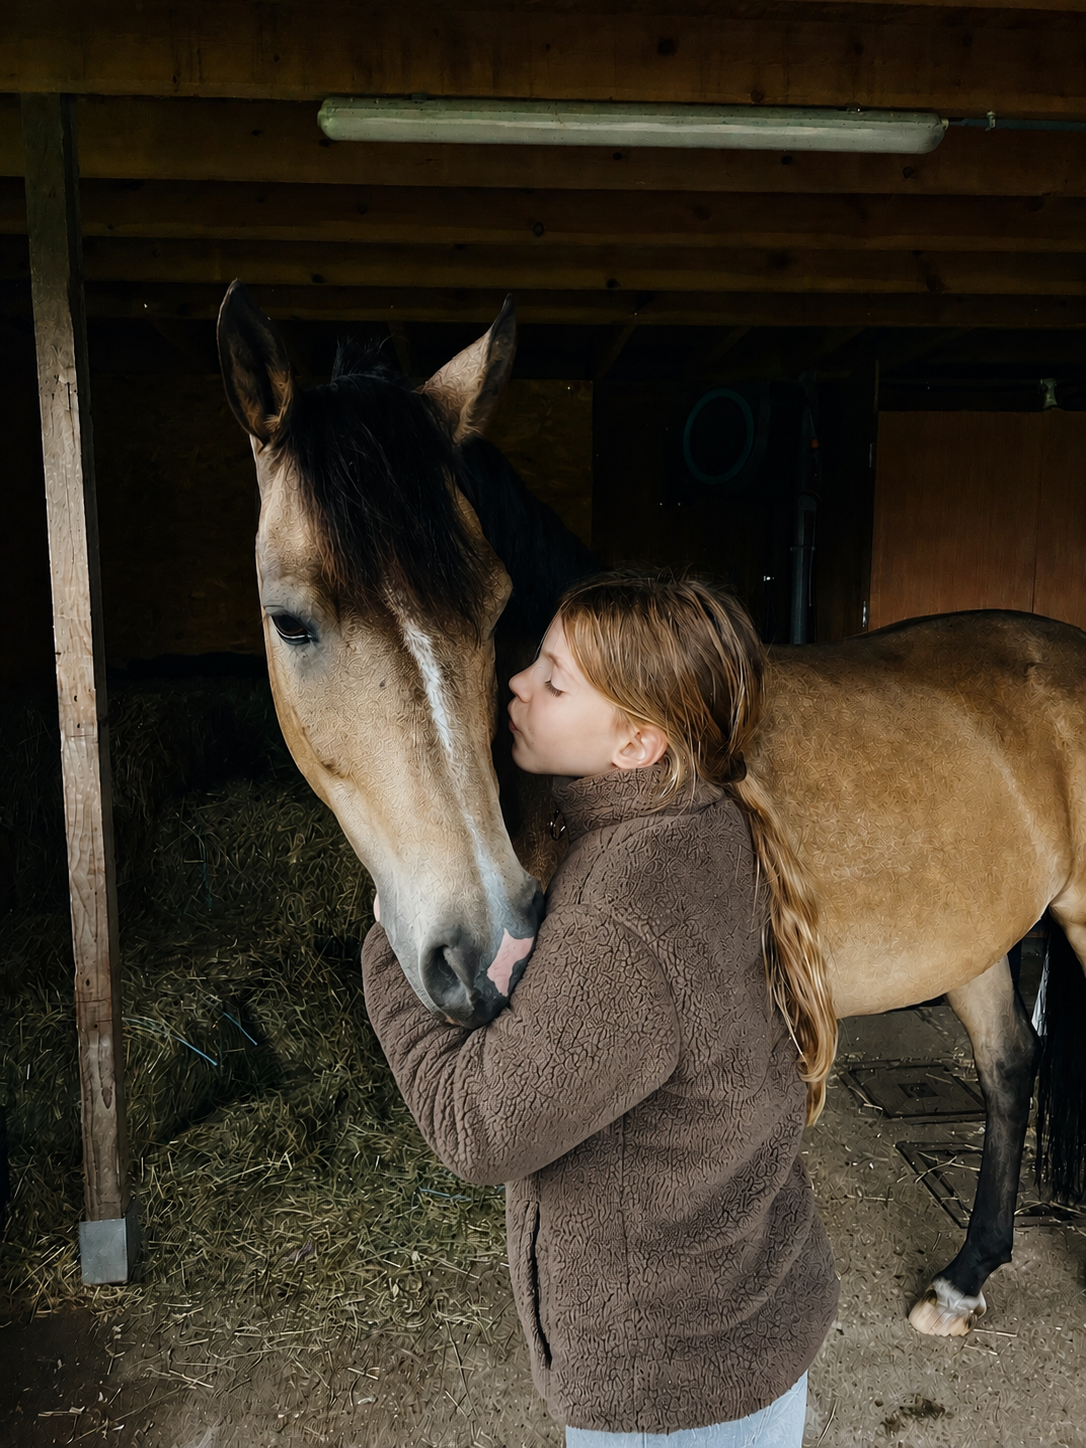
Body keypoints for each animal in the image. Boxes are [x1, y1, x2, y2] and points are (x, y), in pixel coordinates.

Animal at [216, 280, 1086, 1340]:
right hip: (974, 940)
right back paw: (966, 1275)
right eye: (290, 621)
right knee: (1010, 1064)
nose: (491, 946)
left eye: (494, 606)